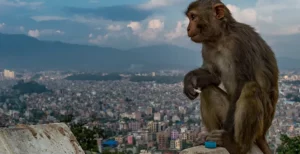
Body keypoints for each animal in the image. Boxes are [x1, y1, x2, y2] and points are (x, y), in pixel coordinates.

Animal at [183, 0, 278, 154]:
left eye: (193, 17)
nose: (187, 28)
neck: (221, 38)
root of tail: (264, 133)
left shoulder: (239, 43)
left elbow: (241, 83)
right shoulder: (207, 48)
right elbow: (214, 76)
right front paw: (189, 80)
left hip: (260, 125)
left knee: (251, 88)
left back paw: (236, 146)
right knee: (208, 90)